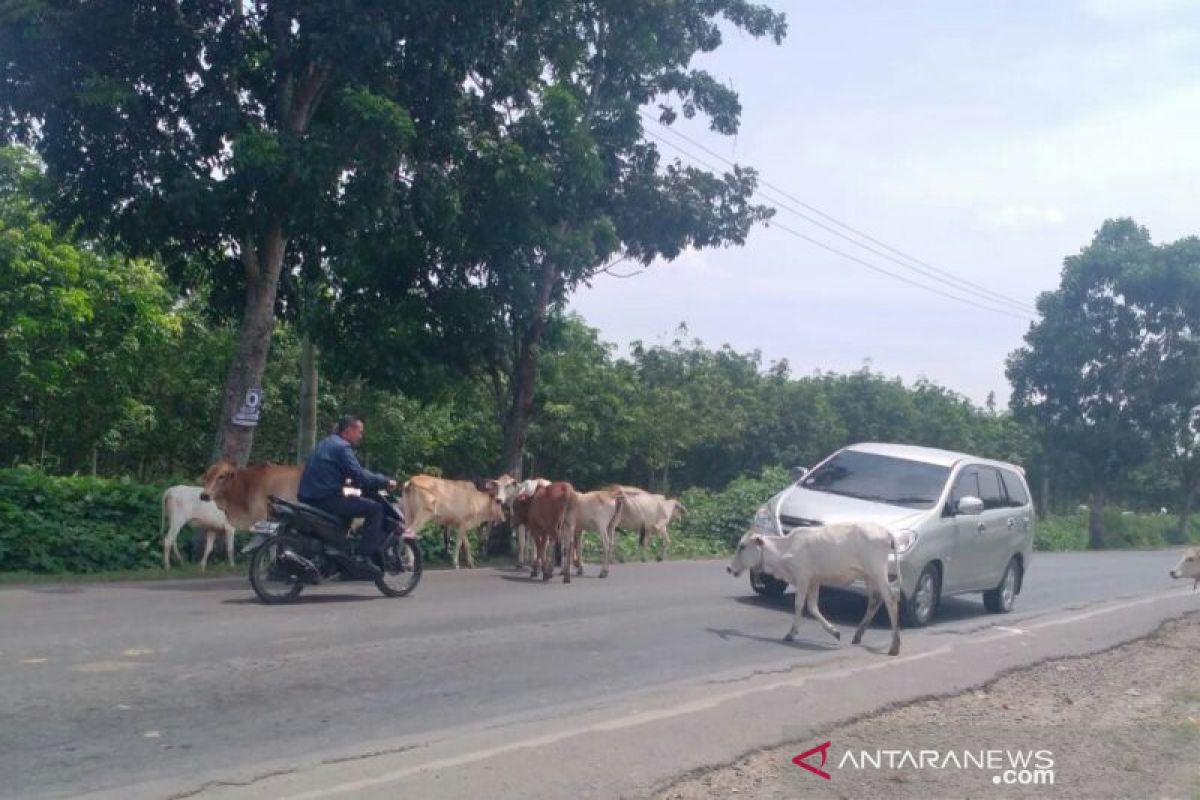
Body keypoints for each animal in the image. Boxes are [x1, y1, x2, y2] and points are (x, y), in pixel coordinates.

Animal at [720, 525, 902, 657]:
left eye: (742, 546)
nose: (729, 568)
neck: (785, 550)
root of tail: (886, 532)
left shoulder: (803, 578)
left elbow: (799, 605)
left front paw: (791, 634)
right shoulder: (814, 581)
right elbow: (813, 607)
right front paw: (835, 632)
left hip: (877, 572)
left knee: (891, 599)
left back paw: (894, 647)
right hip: (868, 576)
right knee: (875, 600)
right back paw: (858, 636)